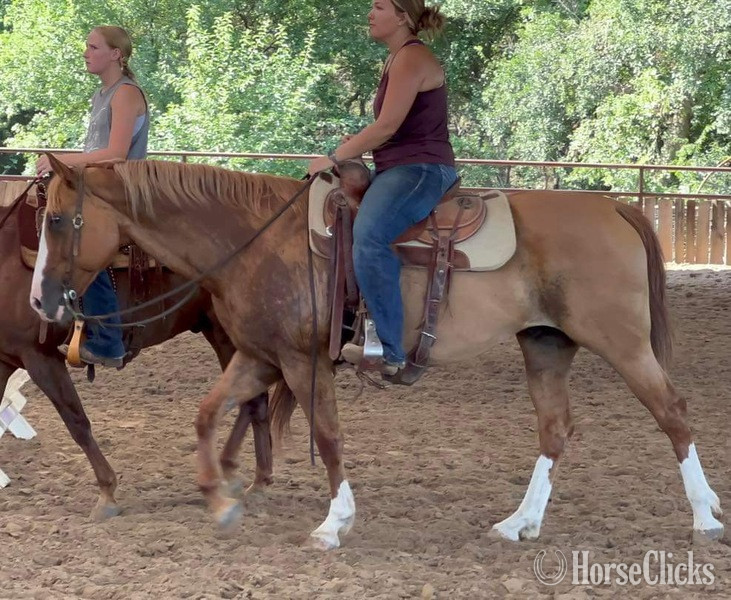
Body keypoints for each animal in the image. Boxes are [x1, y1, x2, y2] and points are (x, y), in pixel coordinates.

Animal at [0, 181, 274, 521]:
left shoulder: (40, 357)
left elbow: (77, 421)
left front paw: (107, 494)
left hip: (228, 336)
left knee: (252, 401)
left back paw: (248, 480)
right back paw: (252, 478)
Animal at [31, 155, 723, 550]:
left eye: (59, 220)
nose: (40, 300)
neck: (255, 240)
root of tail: (612, 205)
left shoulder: (303, 362)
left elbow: (328, 436)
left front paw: (333, 523)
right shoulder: (260, 356)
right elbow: (205, 415)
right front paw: (222, 501)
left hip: (622, 342)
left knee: (673, 414)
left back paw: (705, 518)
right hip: (546, 345)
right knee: (556, 430)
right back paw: (518, 523)